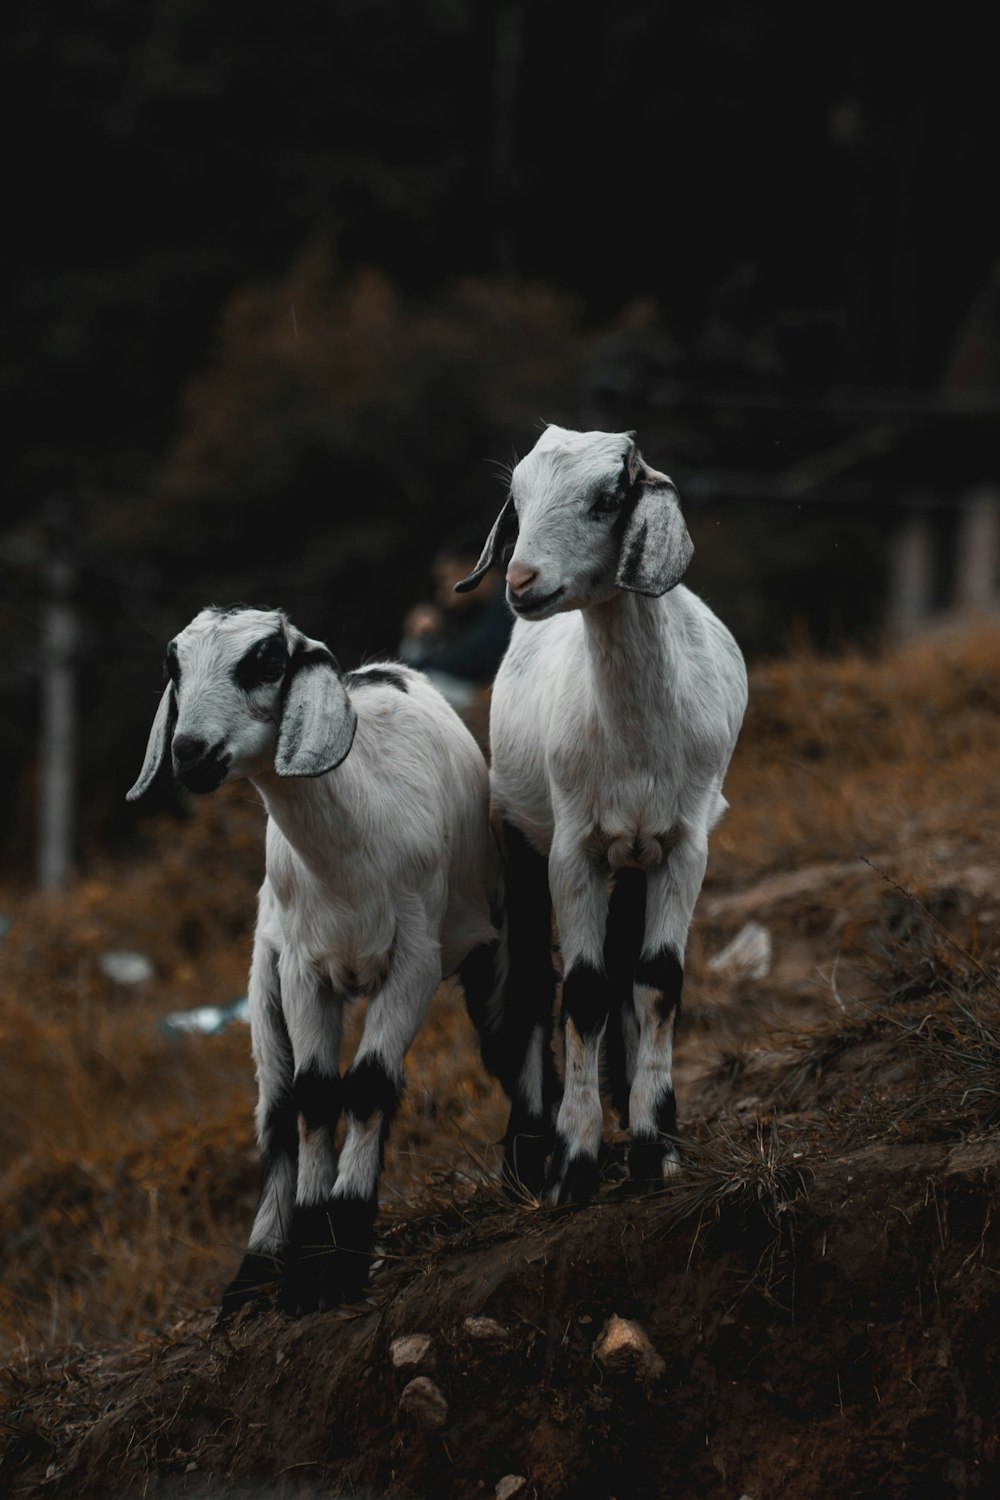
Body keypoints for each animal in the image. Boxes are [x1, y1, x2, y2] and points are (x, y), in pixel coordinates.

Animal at [127, 603, 509, 1320]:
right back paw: (253, 1274)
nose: (189, 752)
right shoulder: (303, 969)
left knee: (506, 1045)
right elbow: (313, 1096)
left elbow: (369, 1085)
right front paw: (309, 1262)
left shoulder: (414, 959)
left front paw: (343, 1253)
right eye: (174, 665)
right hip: (263, 978)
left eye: (266, 662)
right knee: (276, 1107)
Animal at [458, 423, 746, 1206]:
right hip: (521, 836)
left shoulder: (683, 847)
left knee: (628, 968)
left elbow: (658, 981)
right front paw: (574, 1165)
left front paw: (656, 1149)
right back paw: (527, 1152)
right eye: (518, 497)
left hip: (639, 859)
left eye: (608, 498)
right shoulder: (572, 848)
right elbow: (582, 992)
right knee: (532, 979)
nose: (520, 582)